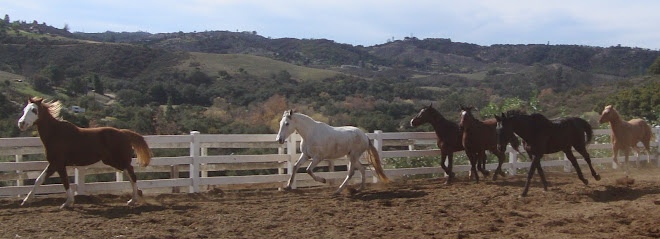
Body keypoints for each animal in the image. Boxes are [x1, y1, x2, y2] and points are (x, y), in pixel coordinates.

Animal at [18, 96, 153, 207]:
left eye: (34, 110)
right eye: (24, 110)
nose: (21, 123)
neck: (56, 134)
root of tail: (124, 133)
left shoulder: (57, 163)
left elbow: (59, 181)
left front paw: (67, 202)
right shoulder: (56, 164)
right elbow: (45, 180)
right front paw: (26, 201)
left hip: (119, 160)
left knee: (132, 174)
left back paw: (133, 199)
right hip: (112, 161)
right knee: (129, 173)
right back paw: (135, 197)